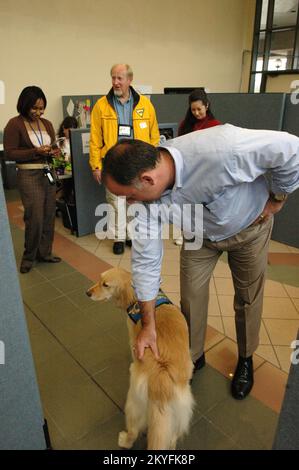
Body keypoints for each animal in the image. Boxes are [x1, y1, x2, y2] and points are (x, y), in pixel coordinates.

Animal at [85, 266, 196, 450]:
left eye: (105, 284)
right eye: (100, 279)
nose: (87, 293)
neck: (137, 298)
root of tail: (161, 377)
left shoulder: (133, 338)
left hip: (133, 403)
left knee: (134, 431)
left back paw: (124, 440)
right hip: (180, 413)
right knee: (172, 438)